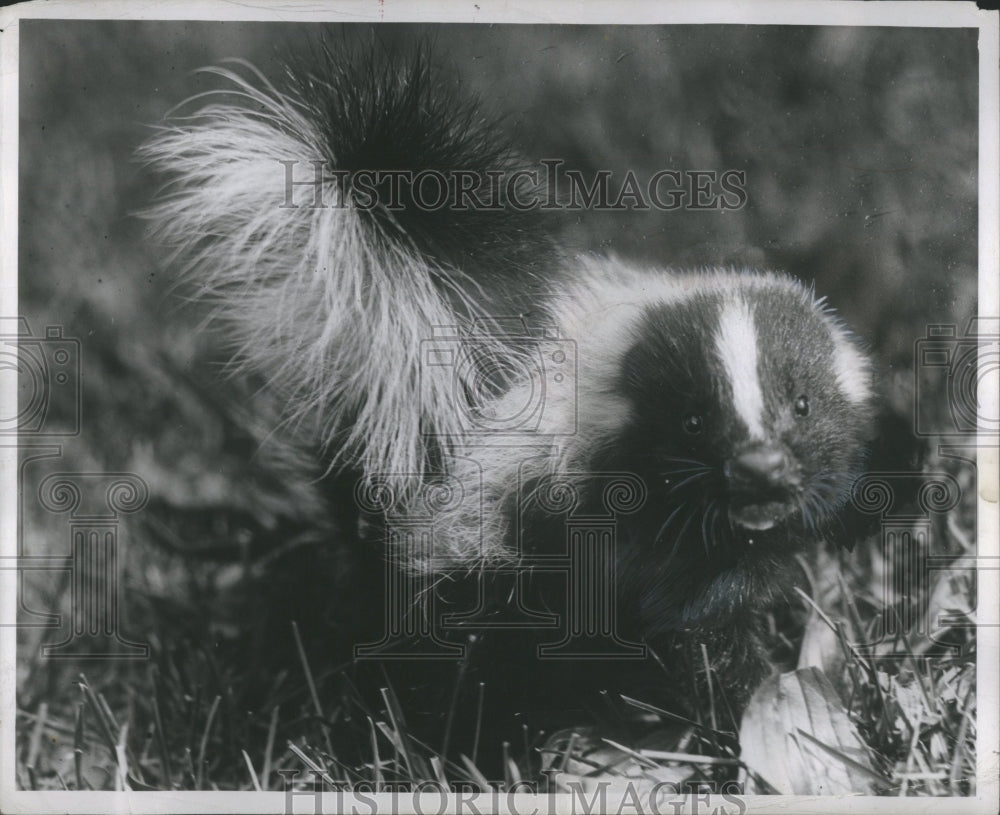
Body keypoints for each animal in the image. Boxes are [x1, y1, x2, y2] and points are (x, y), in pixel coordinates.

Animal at [141, 47, 876, 752]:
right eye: (692, 422)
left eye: (802, 404)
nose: (760, 467)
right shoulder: (630, 526)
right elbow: (702, 629)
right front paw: (756, 708)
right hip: (477, 563)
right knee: (464, 658)